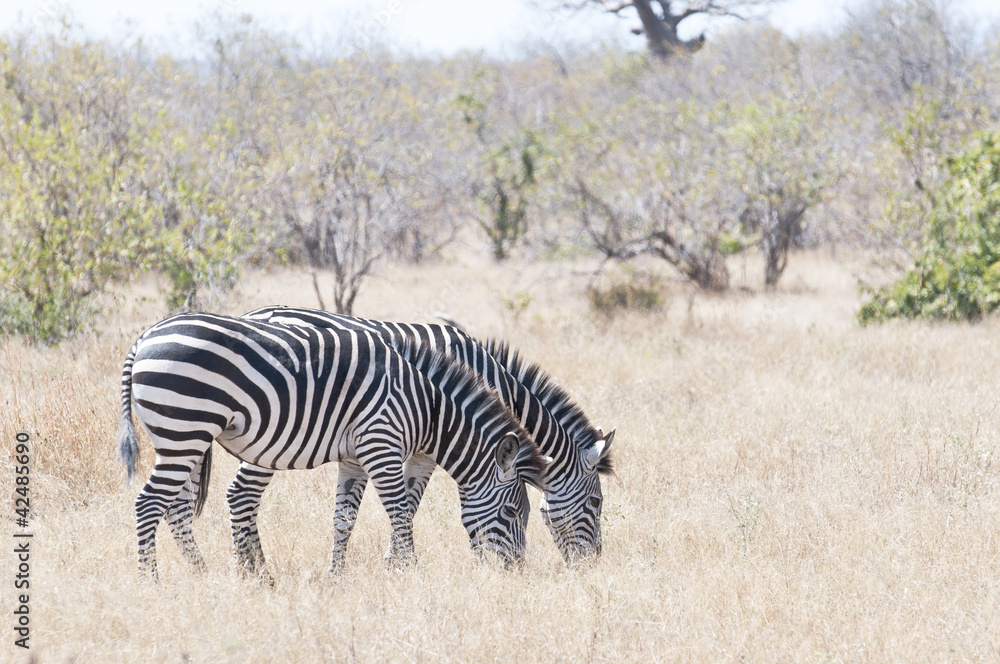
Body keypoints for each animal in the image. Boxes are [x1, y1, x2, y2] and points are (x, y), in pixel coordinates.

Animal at [117, 312, 546, 578]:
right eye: (513, 512)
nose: (515, 572)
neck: (426, 407)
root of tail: (143, 339)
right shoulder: (382, 446)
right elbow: (401, 515)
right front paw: (409, 574)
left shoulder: (354, 460)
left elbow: (343, 519)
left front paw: (335, 577)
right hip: (185, 429)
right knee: (150, 504)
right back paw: (151, 581)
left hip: (182, 437)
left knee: (176, 508)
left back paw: (205, 574)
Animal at [224, 305, 615, 565]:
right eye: (597, 503)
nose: (594, 563)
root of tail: (256, 313)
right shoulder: (439, 444)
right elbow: (414, 506)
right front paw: (397, 564)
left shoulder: (426, 446)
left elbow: (406, 506)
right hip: (272, 434)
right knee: (243, 494)